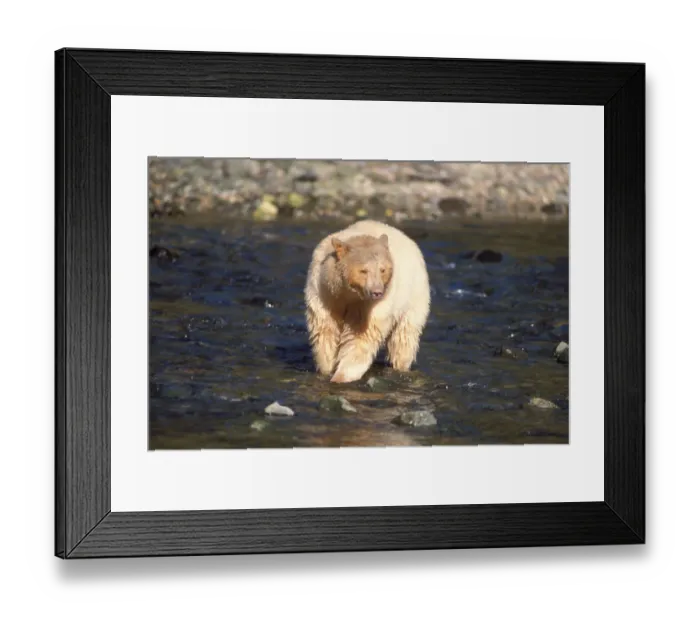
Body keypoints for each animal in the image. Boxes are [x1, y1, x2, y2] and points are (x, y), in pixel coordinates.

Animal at [304, 219, 431, 383]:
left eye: (382, 269)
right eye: (363, 270)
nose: (377, 292)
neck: (347, 294)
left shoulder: (368, 306)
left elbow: (360, 337)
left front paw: (341, 377)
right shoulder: (323, 293)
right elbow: (325, 331)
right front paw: (327, 370)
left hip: (413, 296)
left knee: (403, 338)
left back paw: (400, 366)